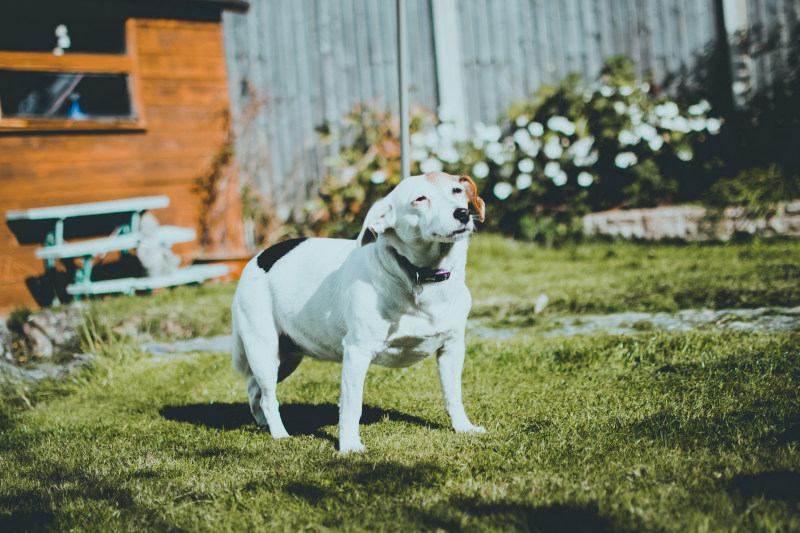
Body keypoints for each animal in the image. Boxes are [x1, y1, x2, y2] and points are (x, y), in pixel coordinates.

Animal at [228, 172, 484, 450]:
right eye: (419, 198)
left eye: (457, 190)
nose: (462, 213)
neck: (418, 275)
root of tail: (257, 257)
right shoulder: (356, 353)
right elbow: (352, 407)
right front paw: (349, 446)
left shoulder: (452, 348)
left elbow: (453, 395)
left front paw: (463, 427)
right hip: (263, 349)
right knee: (267, 396)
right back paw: (279, 434)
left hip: (287, 356)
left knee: (254, 388)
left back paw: (262, 423)